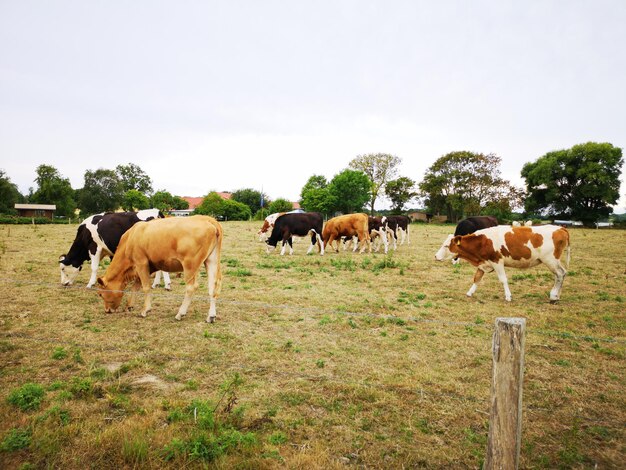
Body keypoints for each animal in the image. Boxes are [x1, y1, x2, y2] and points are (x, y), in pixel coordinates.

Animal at [438, 225, 572, 304]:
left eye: (446, 246)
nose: (436, 256)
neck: (482, 241)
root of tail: (560, 228)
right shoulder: (484, 263)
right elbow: (477, 278)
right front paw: (470, 293)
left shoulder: (497, 261)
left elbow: (503, 280)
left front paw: (508, 296)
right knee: (562, 273)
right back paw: (557, 295)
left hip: (551, 260)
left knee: (560, 274)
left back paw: (553, 296)